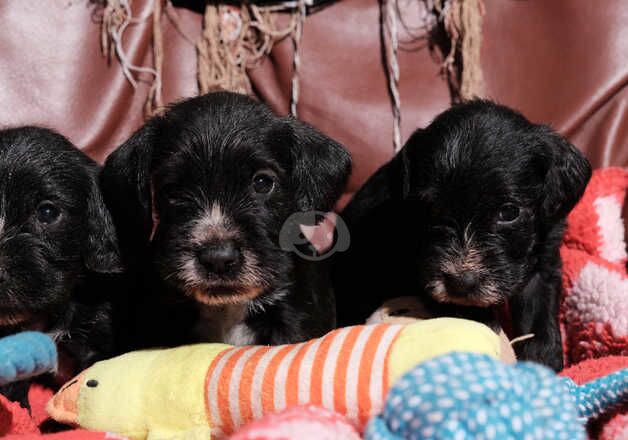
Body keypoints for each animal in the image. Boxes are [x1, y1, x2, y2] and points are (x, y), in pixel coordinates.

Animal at [336, 100, 592, 372]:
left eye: (509, 212)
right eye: (431, 208)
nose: (460, 282)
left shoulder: (544, 260)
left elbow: (539, 316)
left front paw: (543, 364)